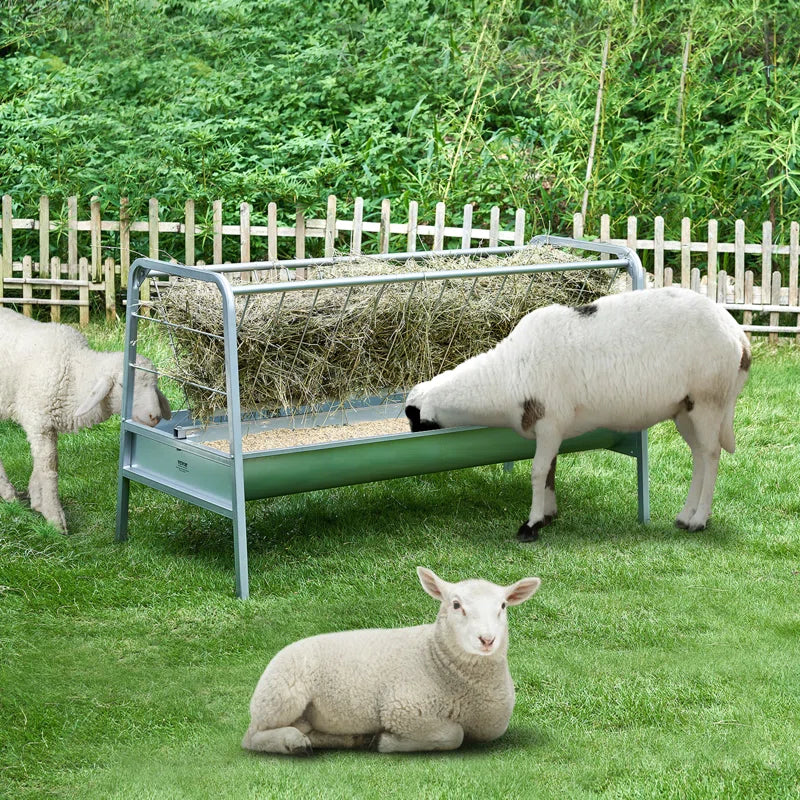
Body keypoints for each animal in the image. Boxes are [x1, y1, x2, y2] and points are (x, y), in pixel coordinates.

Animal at [0, 308, 171, 532]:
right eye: (122, 385)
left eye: (155, 384)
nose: (155, 416)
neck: (73, 373)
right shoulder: (38, 420)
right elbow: (49, 467)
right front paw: (54, 517)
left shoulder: (46, 425)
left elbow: (45, 464)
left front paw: (37, 500)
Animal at [241, 567, 540, 755]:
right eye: (456, 605)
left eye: (502, 606)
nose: (487, 639)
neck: (436, 661)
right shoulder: (402, 710)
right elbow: (453, 735)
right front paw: (385, 742)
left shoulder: (492, 726)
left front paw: (374, 739)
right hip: (281, 695)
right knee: (253, 735)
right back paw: (293, 743)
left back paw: (347, 739)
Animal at [405, 287, 751, 540]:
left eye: (413, 419)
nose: (410, 437)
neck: (506, 375)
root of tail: (739, 336)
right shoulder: (551, 429)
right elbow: (550, 471)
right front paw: (547, 516)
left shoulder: (550, 422)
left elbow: (537, 471)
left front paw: (530, 525)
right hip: (685, 408)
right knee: (699, 456)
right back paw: (685, 516)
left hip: (708, 400)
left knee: (711, 455)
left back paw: (699, 520)